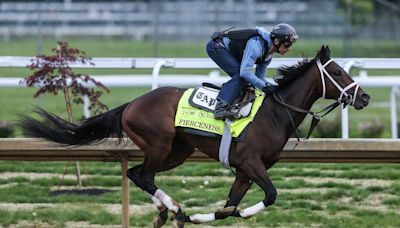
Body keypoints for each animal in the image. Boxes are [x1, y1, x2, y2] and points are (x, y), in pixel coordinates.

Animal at [18, 45, 368, 227]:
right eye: (337, 73)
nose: (363, 97)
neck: (275, 112)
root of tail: (132, 103)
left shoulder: (244, 171)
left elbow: (229, 206)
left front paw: (208, 214)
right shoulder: (251, 163)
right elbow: (269, 196)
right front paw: (216, 213)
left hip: (177, 152)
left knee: (137, 174)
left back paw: (168, 212)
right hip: (159, 145)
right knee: (142, 175)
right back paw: (173, 209)